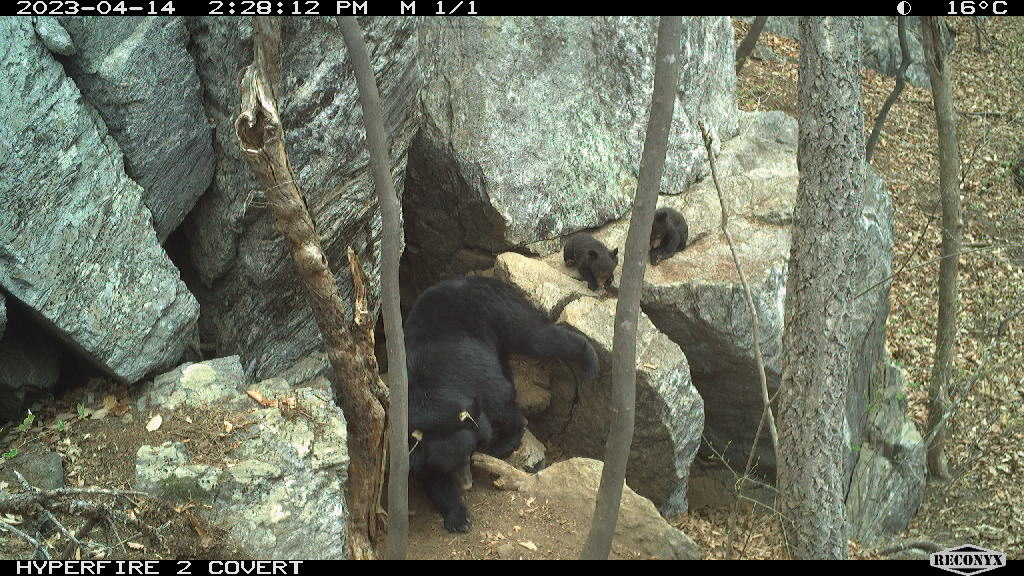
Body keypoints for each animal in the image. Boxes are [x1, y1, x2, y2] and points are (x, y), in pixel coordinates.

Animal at [401, 276, 598, 532]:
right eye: (447, 467)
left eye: (468, 454)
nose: (467, 484)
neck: (431, 401)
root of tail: (473, 278)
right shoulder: (415, 438)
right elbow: (429, 476)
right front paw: (458, 518)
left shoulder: (469, 374)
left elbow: (499, 400)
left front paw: (502, 445)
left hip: (502, 311)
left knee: (537, 337)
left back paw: (589, 361)